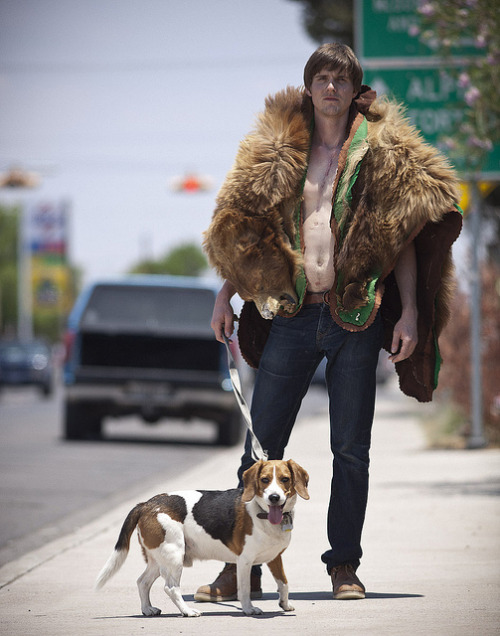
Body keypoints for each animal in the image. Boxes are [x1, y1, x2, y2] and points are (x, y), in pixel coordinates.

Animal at [94, 462, 308, 616]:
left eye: (285, 479)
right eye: (264, 480)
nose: (274, 497)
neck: (261, 511)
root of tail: (147, 504)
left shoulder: (275, 558)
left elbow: (284, 583)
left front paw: (285, 604)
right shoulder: (244, 561)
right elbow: (244, 589)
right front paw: (249, 609)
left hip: (158, 558)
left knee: (142, 582)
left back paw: (148, 609)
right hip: (174, 555)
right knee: (171, 588)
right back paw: (187, 611)